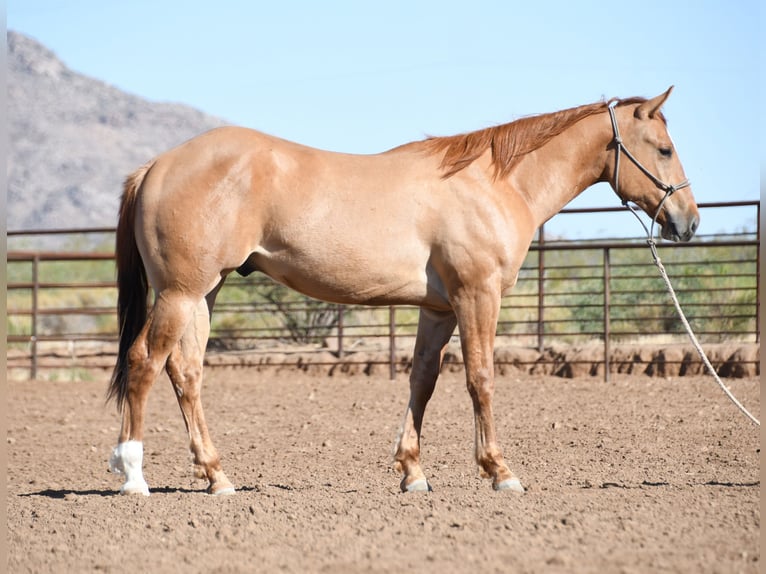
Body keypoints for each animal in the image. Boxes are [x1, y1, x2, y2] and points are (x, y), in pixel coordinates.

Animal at [107, 87, 699, 496]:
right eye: (664, 149)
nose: (688, 222)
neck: (493, 182)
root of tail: (157, 165)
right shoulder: (477, 296)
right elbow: (481, 379)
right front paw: (499, 471)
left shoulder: (439, 308)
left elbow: (423, 382)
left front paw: (413, 473)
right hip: (181, 292)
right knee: (144, 362)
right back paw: (133, 474)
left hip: (203, 294)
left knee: (185, 372)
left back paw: (217, 477)